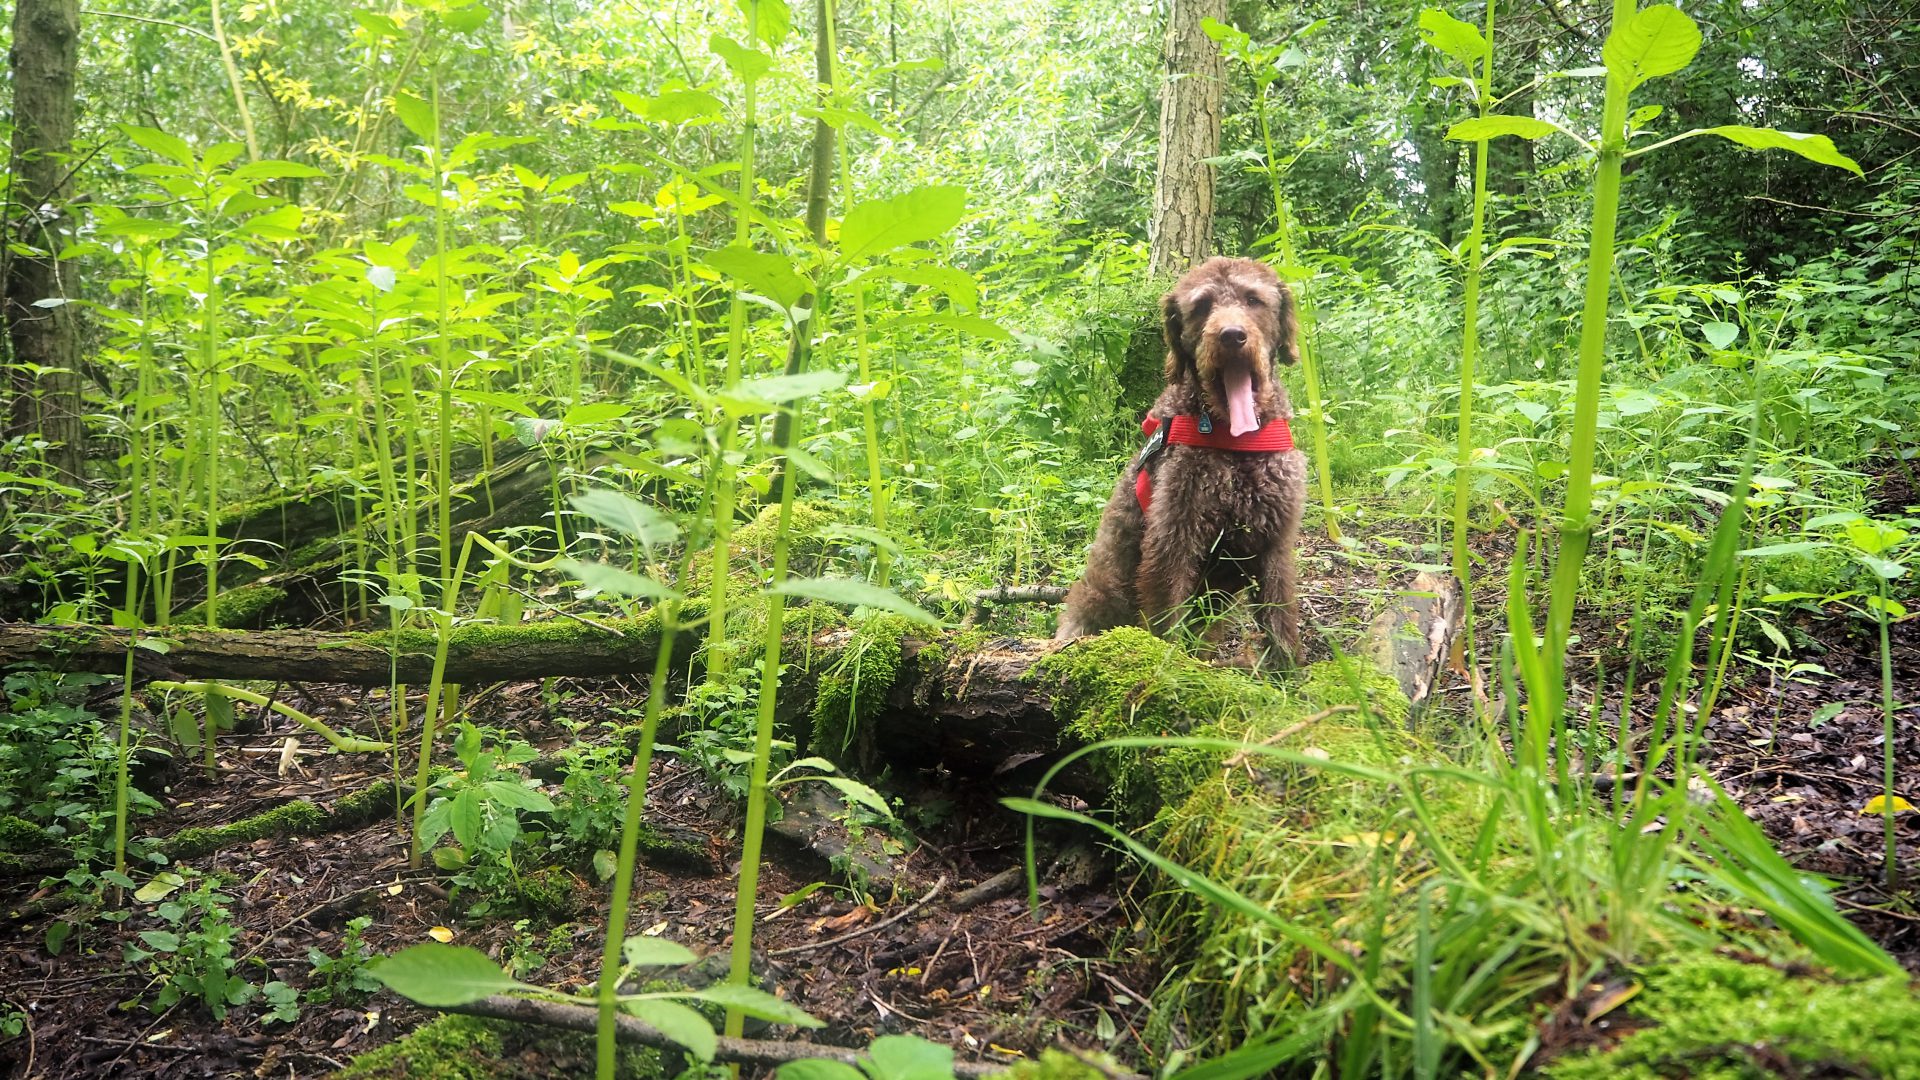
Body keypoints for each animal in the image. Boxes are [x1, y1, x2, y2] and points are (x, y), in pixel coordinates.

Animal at [1054, 256, 1307, 665]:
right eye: (1202, 306)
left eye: (1253, 299)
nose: (1232, 336)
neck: (1235, 444)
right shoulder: (1172, 539)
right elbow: (1165, 619)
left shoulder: (1274, 544)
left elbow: (1280, 624)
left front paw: (1289, 677)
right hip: (1097, 599)